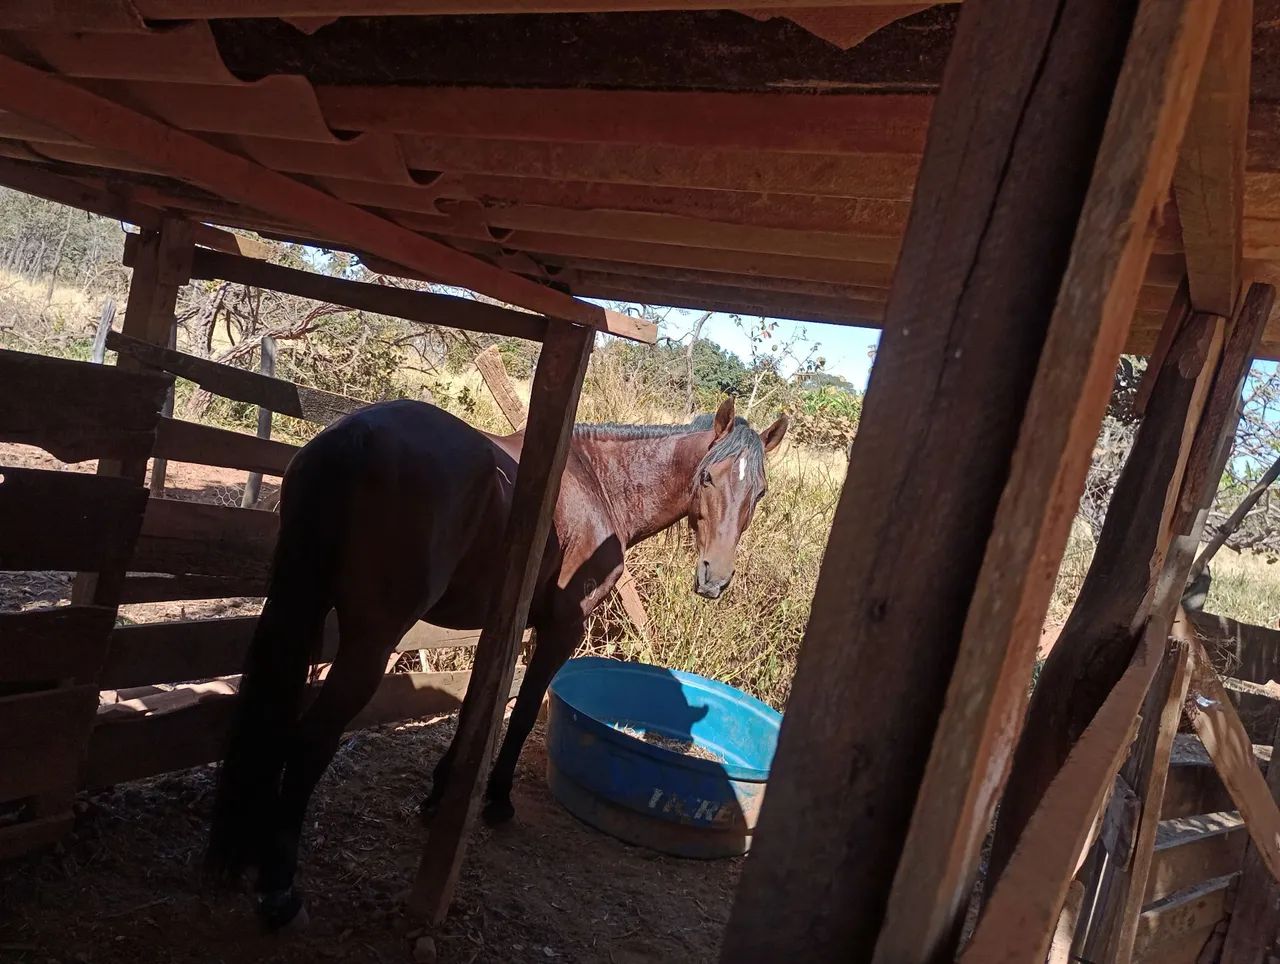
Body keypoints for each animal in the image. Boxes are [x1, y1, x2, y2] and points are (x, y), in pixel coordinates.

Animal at [204, 395, 787, 928]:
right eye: (708, 478)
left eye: (758, 492)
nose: (714, 578)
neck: (597, 482)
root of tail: (356, 436)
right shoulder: (561, 629)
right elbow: (522, 711)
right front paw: (497, 800)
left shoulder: (502, 623)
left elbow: (477, 709)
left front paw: (441, 793)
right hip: (370, 640)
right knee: (309, 739)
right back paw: (279, 888)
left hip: (294, 604)